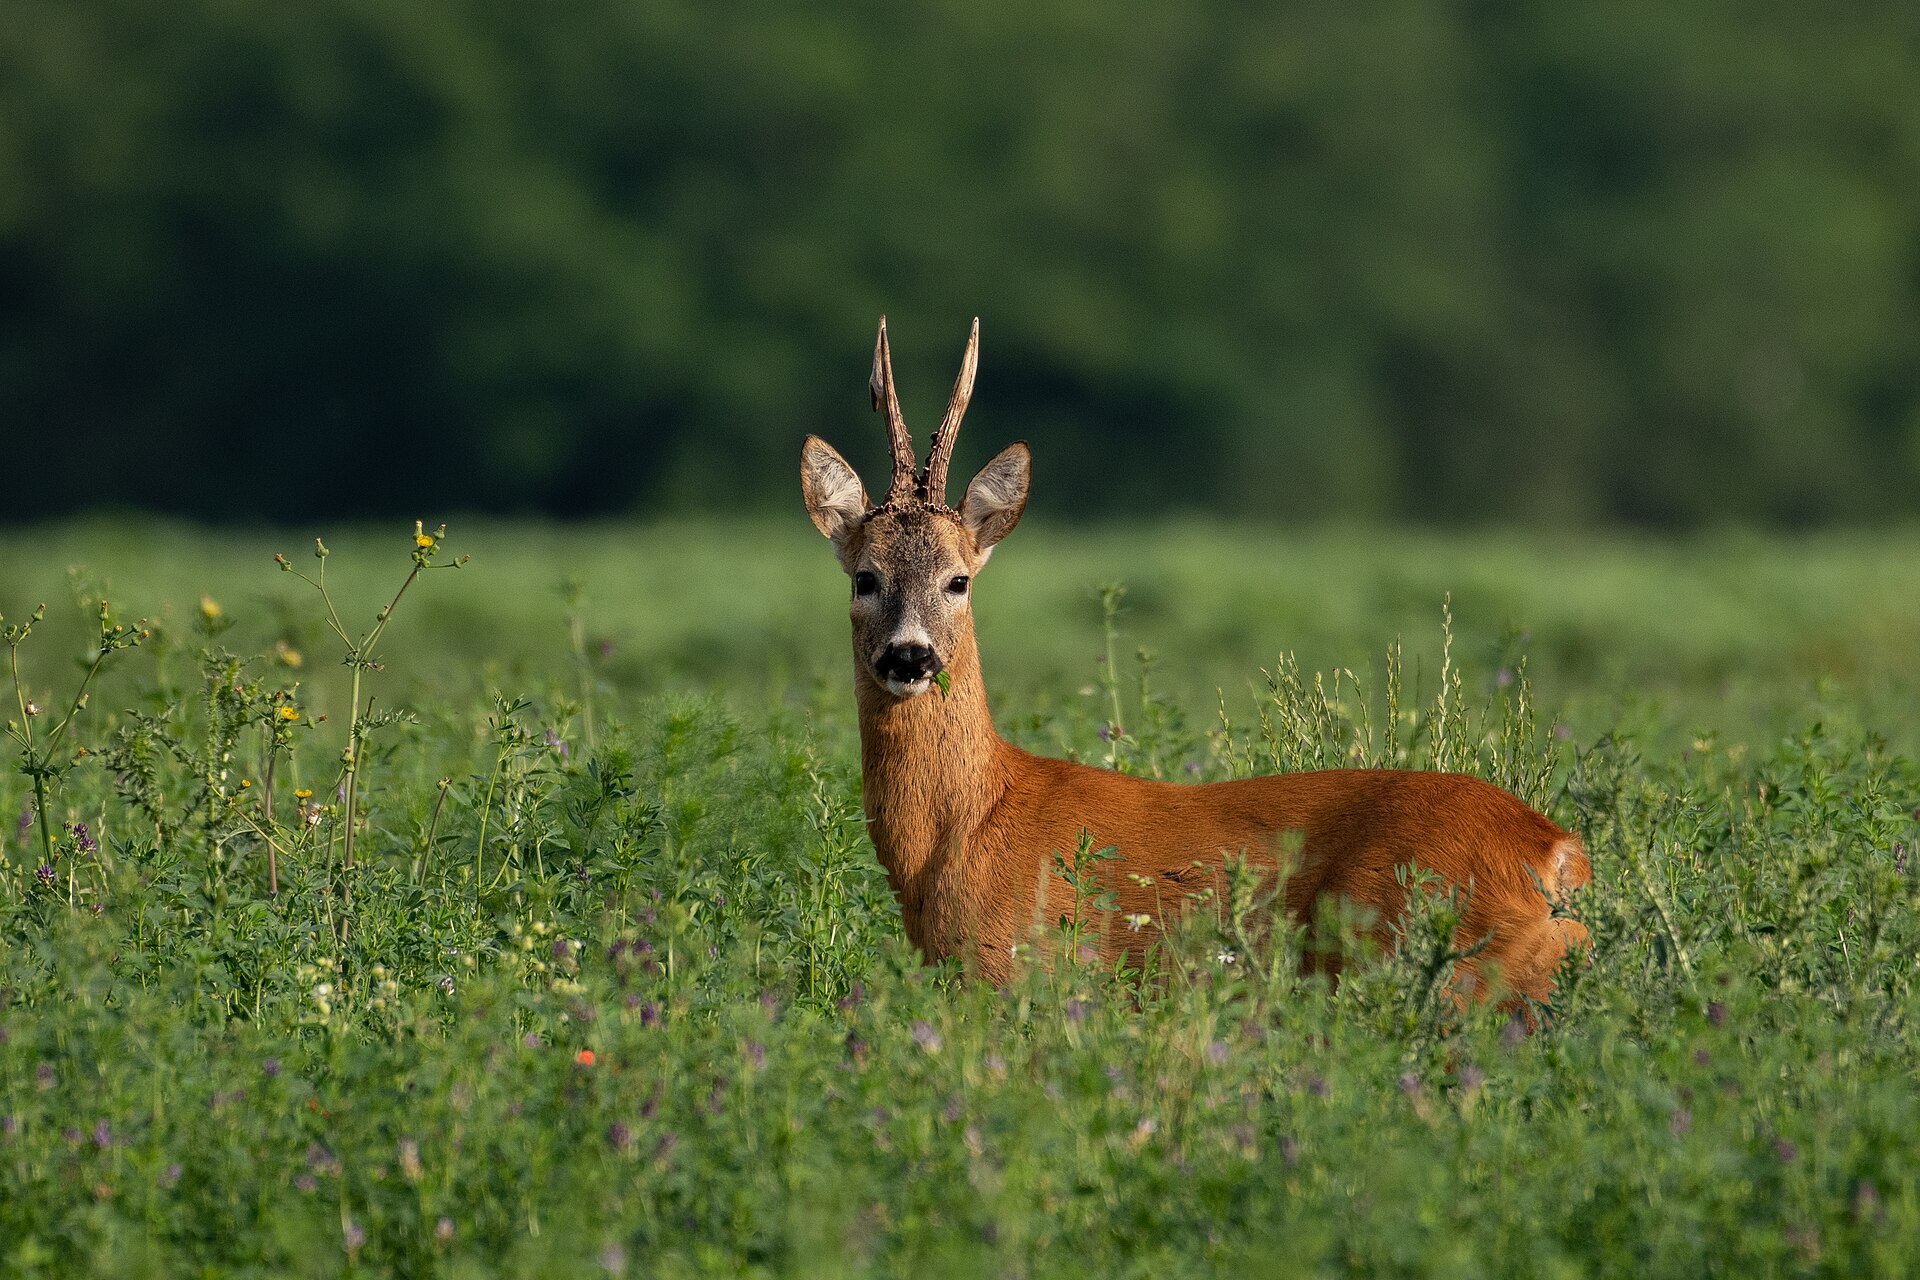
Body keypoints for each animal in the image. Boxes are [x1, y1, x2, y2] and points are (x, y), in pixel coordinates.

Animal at [799, 317, 1591, 1008]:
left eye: (958, 580)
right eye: (864, 577)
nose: (910, 655)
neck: (966, 831)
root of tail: (1557, 853)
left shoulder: (1018, 976)